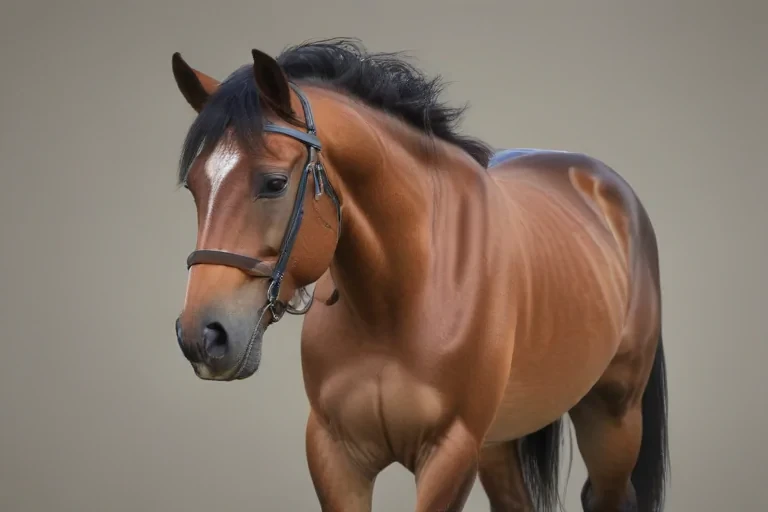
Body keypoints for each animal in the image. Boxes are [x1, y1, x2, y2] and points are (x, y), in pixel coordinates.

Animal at [171, 39, 669, 512]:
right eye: (194, 186)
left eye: (273, 183)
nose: (203, 336)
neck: (399, 298)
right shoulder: (336, 454)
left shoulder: (450, 451)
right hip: (499, 441)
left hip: (613, 416)